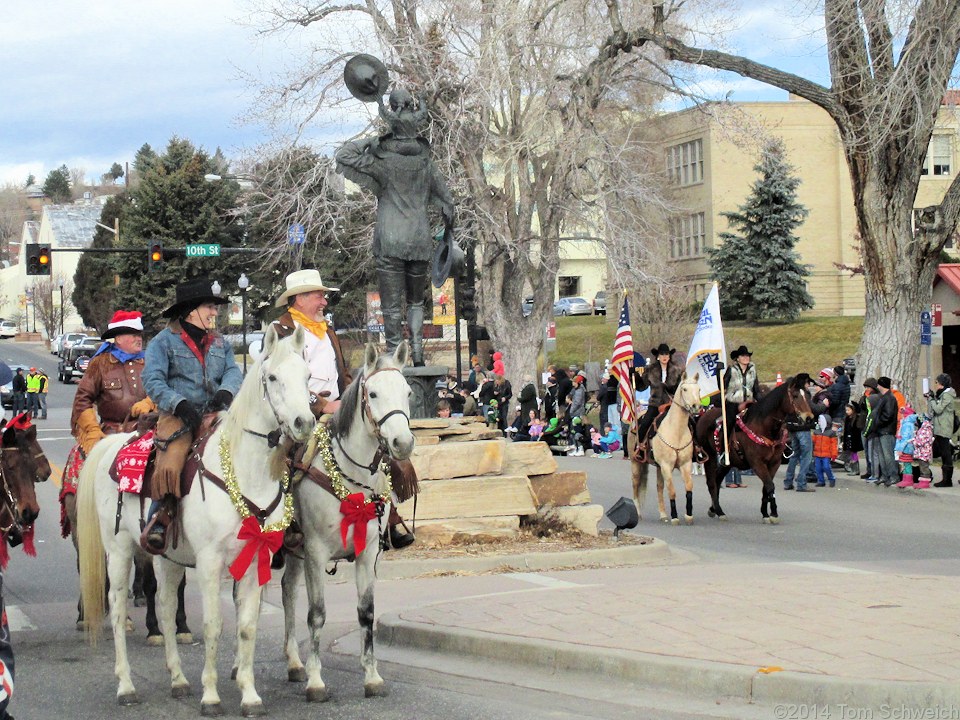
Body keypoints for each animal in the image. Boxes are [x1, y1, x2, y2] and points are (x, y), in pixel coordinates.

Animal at [78, 326, 316, 716]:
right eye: (272, 377)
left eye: (308, 376)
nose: (304, 423)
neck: (244, 472)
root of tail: (112, 443)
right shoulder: (209, 562)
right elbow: (214, 624)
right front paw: (212, 696)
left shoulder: (256, 558)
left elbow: (247, 625)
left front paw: (249, 695)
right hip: (119, 550)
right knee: (116, 609)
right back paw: (126, 686)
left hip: (168, 557)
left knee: (165, 606)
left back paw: (177, 679)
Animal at [278, 340, 412, 700]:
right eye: (374, 394)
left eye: (408, 392)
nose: (403, 443)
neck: (351, 480)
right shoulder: (315, 553)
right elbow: (317, 614)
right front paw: (316, 681)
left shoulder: (367, 554)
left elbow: (366, 613)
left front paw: (372, 676)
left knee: (287, 591)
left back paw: (293, 663)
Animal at [632, 374, 700, 524]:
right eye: (685, 389)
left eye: (699, 389)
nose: (696, 407)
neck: (676, 431)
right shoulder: (666, 466)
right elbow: (672, 491)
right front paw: (675, 517)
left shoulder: (685, 464)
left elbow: (689, 488)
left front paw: (689, 515)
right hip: (636, 464)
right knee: (635, 486)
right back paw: (637, 513)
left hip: (658, 467)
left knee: (659, 487)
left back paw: (663, 515)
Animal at [692, 376, 812, 524]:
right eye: (795, 396)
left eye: (807, 394)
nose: (809, 417)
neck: (764, 427)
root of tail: (703, 415)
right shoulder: (757, 463)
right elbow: (770, 485)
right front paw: (774, 514)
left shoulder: (774, 463)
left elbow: (766, 487)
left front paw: (765, 513)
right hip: (710, 459)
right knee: (711, 483)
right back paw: (719, 511)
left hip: (728, 463)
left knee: (717, 480)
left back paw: (714, 509)